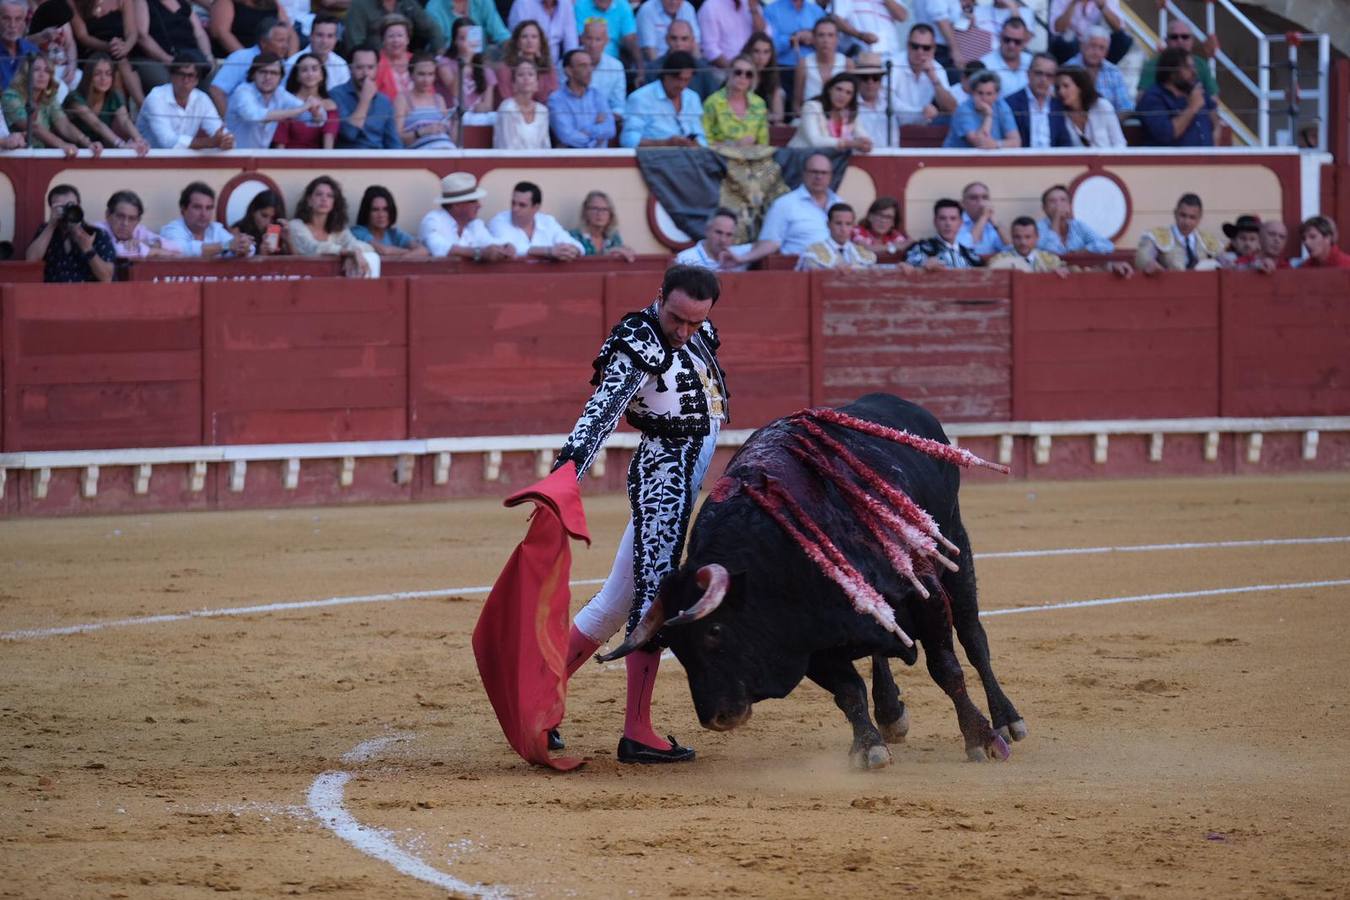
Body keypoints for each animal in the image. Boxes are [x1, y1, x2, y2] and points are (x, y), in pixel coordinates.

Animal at [596, 391, 1026, 766]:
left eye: (714, 631)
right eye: (677, 647)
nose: (715, 718)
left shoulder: (924, 595)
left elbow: (946, 668)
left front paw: (982, 739)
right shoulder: (808, 639)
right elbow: (848, 692)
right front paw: (869, 747)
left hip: (954, 541)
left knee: (973, 638)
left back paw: (1008, 720)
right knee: (882, 652)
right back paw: (890, 713)